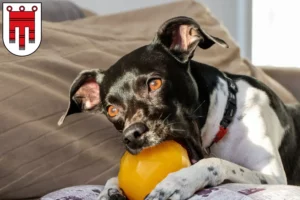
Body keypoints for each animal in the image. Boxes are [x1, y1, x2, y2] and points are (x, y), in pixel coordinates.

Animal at [58, 17, 300, 200]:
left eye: (154, 83)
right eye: (111, 110)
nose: (132, 136)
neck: (225, 117)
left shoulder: (274, 178)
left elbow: (214, 163)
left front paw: (177, 182)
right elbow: (113, 178)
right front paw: (110, 190)